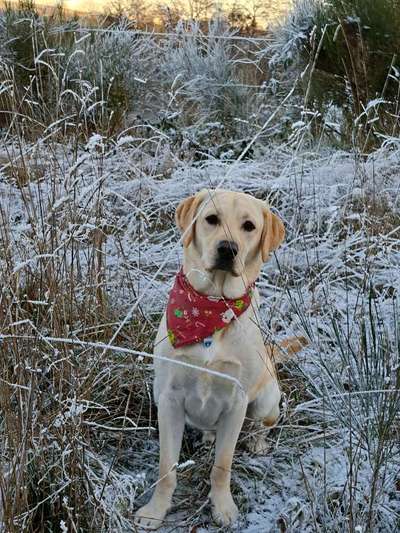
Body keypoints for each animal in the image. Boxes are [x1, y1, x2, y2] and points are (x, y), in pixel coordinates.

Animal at [135, 188, 304, 528]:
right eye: (211, 219)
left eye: (249, 226)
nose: (228, 249)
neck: (212, 304)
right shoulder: (169, 400)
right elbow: (166, 469)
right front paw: (156, 511)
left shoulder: (237, 402)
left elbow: (222, 466)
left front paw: (222, 507)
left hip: (266, 401)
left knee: (262, 425)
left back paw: (257, 442)